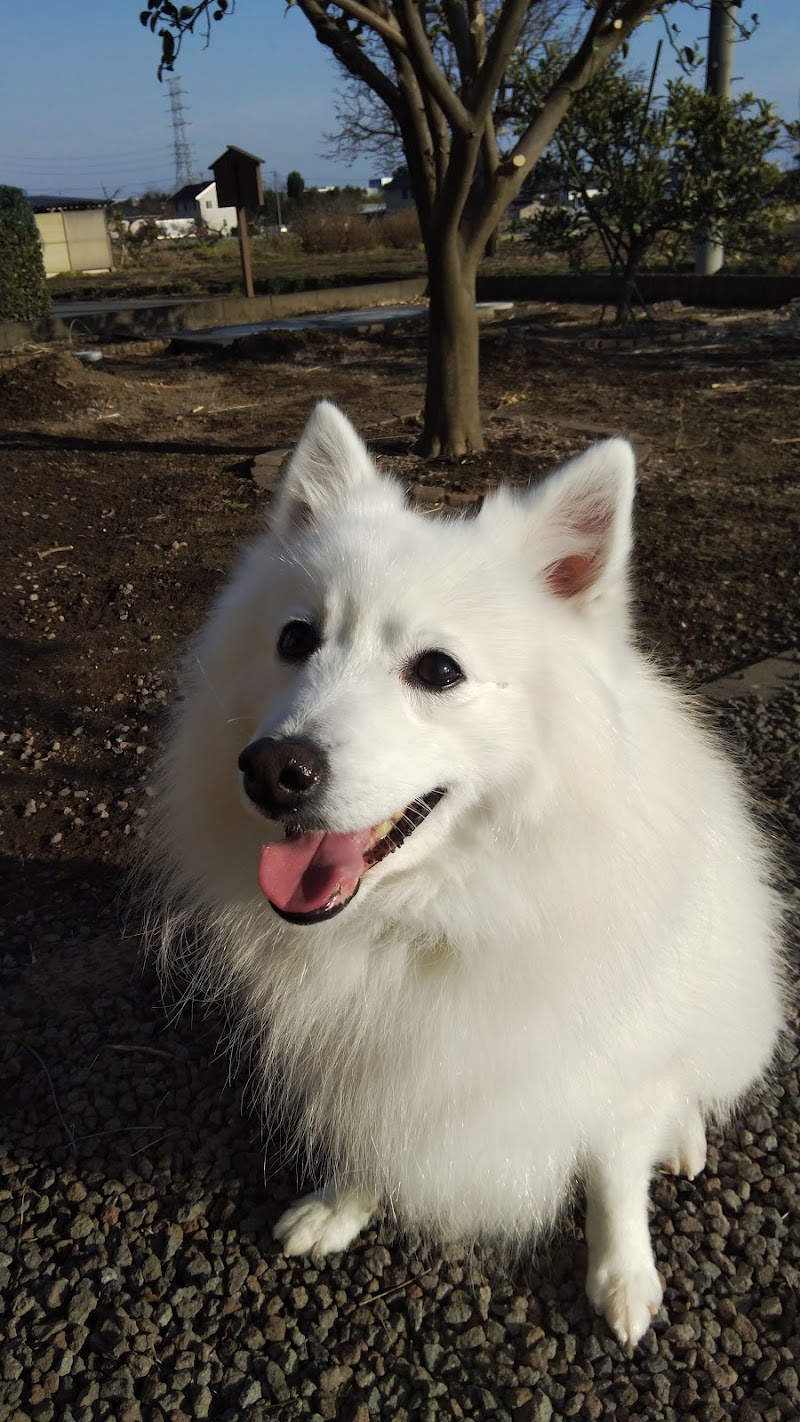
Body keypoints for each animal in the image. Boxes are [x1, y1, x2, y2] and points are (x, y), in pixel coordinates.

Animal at [148, 401, 784, 1342]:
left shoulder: (613, 1065)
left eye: (438, 670)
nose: (271, 769)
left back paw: (684, 1137)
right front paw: (342, 1206)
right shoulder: (376, 1057)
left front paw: (622, 1276)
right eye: (296, 640)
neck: (437, 916)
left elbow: (614, 1172)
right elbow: (374, 1135)